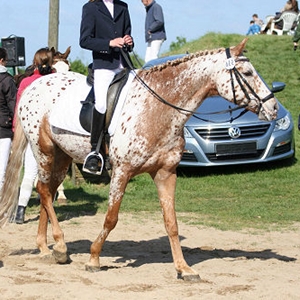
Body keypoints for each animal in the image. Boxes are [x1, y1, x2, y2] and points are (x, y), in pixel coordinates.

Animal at [0, 39, 278, 282]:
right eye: (247, 72)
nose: (273, 108)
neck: (158, 107)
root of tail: (35, 86)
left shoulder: (166, 173)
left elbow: (171, 222)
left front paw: (184, 269)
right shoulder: (121, 171)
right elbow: (111, 218)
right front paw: (94, 258)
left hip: (62, 156)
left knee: (46, 189)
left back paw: (46, 248)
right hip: (44, 150)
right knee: (44, 191)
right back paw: (59, 245)